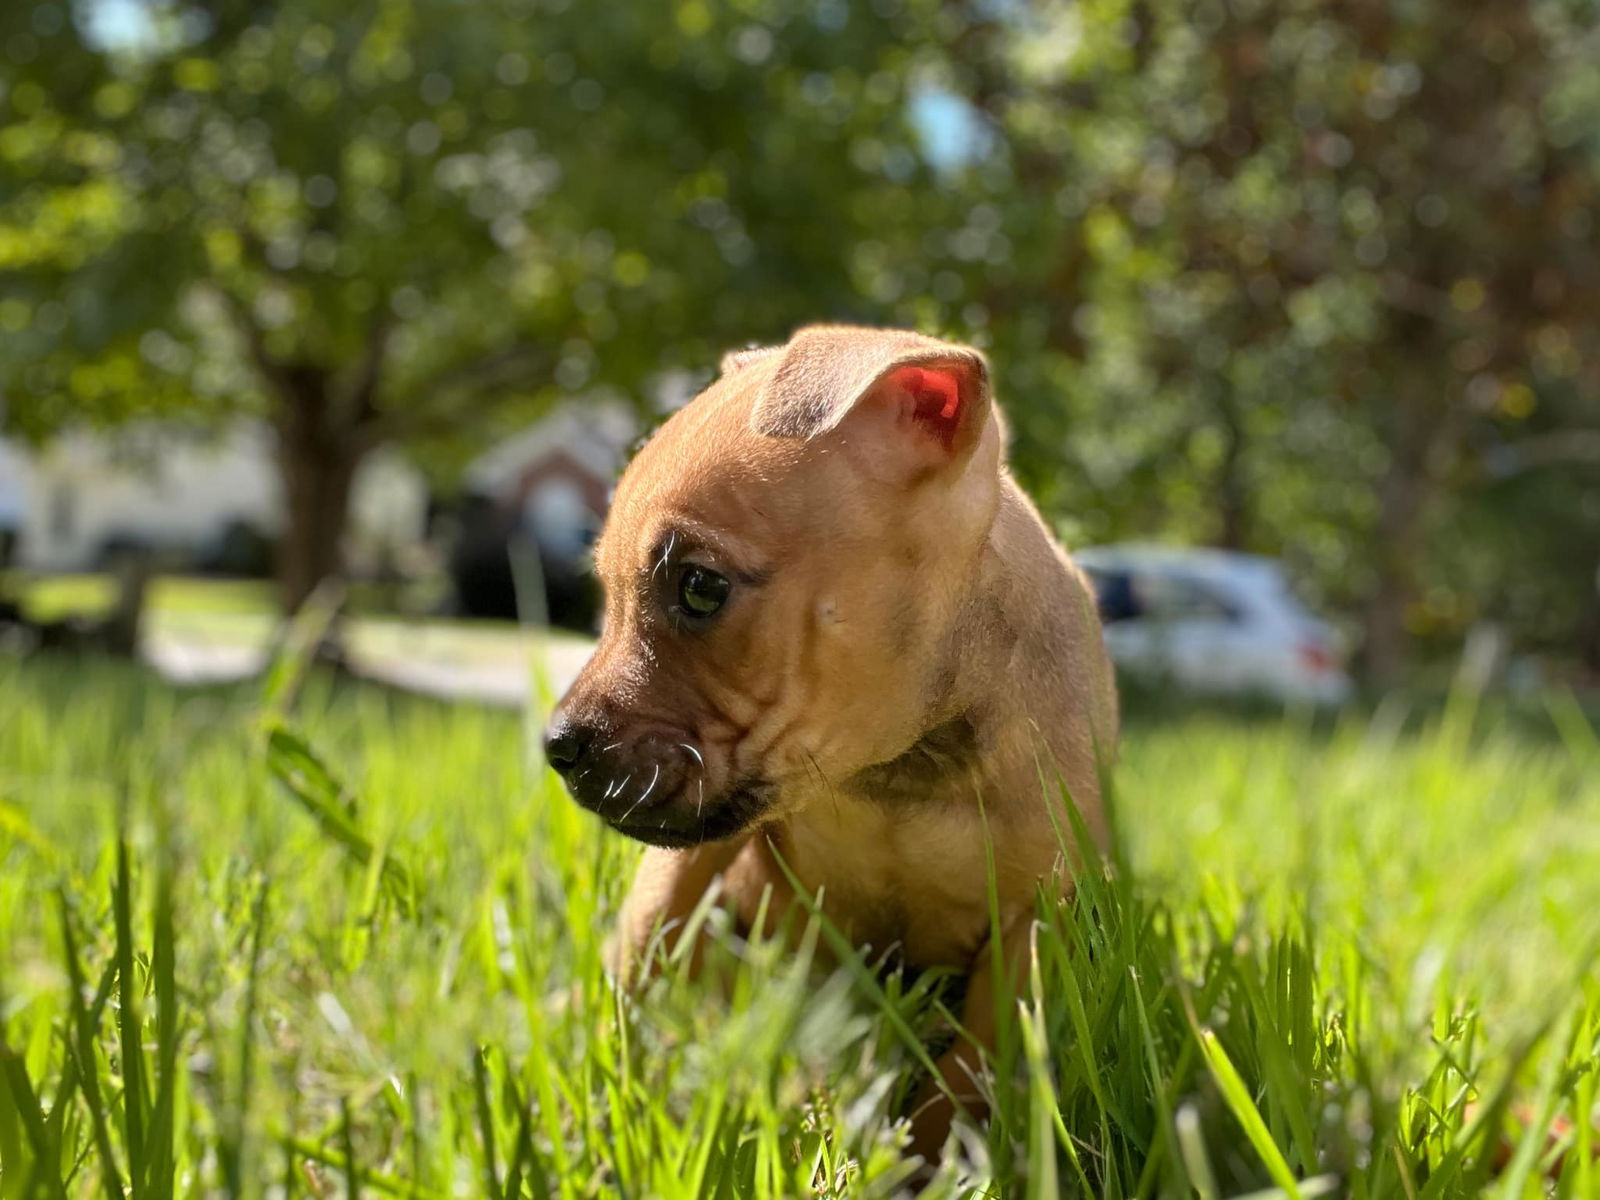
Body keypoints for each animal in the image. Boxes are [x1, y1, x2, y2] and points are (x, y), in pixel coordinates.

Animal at [544, 324, 1120, 1158]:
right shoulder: (697, 854)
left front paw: (926, 1163)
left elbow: (967, 1076)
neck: (896, 770)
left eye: (699, 588)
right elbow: (643, 952)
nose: (557, 744)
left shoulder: (1030, 928)